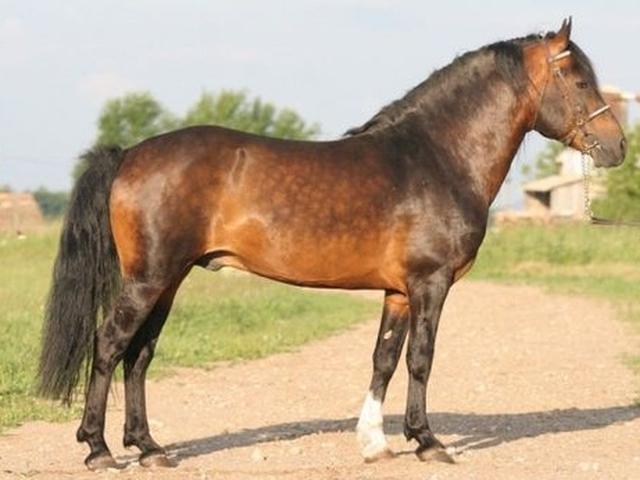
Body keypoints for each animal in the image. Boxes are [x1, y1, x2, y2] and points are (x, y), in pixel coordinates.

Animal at [38, 18, 625, 470]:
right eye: (578, 81)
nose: (617, 146)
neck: (436, 156)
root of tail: (129, 153)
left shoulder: (399, 292)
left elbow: (384, 359)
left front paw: (375, 442)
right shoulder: (430, 284)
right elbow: (421, 359)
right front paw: (428, 442)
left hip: (168, 281)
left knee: (139, 356)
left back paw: (149, 448)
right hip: (149, 279)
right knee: (109, 346)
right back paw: (98, 449)